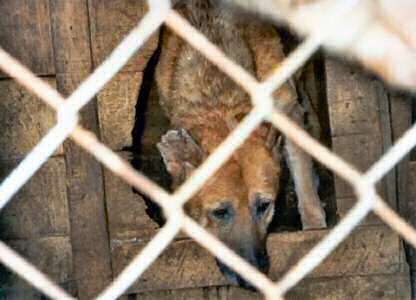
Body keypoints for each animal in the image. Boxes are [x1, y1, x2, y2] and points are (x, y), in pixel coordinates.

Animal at [154, 0, 326, 288]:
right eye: (220, 212)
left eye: (264, 206)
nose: (253, 278)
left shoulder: (286, 110)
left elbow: (303, 181)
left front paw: (315, 227)